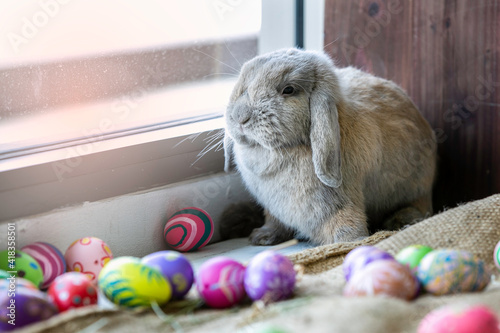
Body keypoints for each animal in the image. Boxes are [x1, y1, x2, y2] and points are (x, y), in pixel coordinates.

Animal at [225, 48, 436, 244]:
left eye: (288, 90)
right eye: (244, 85)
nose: (240, 116)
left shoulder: (338, 204)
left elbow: (345, 226)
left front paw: (350, 243)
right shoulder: (274, 209)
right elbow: (274, 222)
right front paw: (262, 237)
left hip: (416, 189)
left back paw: (402, 221)